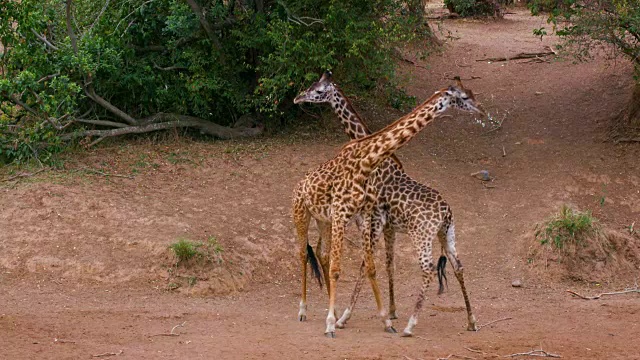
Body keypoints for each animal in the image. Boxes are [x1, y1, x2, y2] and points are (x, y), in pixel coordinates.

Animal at [292, 74, 482, 338]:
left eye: (318, 90)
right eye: (465, 96)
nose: (297, 98)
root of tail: (446, 212)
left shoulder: (371, 220)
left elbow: (370, 264)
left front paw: (352, 317)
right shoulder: (378, 222)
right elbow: (382, 264)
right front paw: (383, 313)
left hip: (420, 234)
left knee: (431, 268)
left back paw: (413, 325)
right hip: (443, 233)